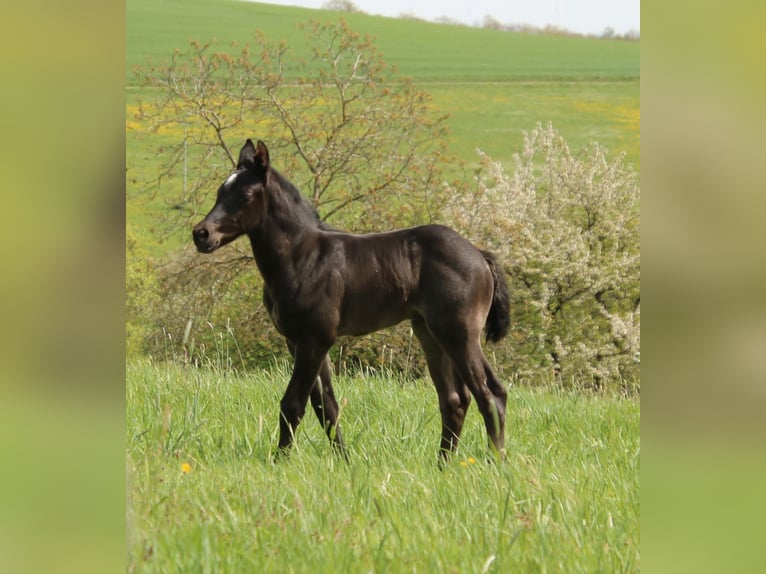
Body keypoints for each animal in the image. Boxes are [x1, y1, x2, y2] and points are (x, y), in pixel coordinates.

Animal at [195, 140, 512, 464]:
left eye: (245, 195)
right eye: (220, 191)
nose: (201, 234)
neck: (301, 256)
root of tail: (479, 255)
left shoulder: (316, 337)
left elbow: (293, 404)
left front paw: (279, 463)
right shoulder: (298, 340)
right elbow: (326, 406)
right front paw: (344, 462)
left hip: (459, 333)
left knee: (491, 394)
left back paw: (493, 462)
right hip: (430, 333)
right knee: (455, 400)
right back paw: (442, 466)